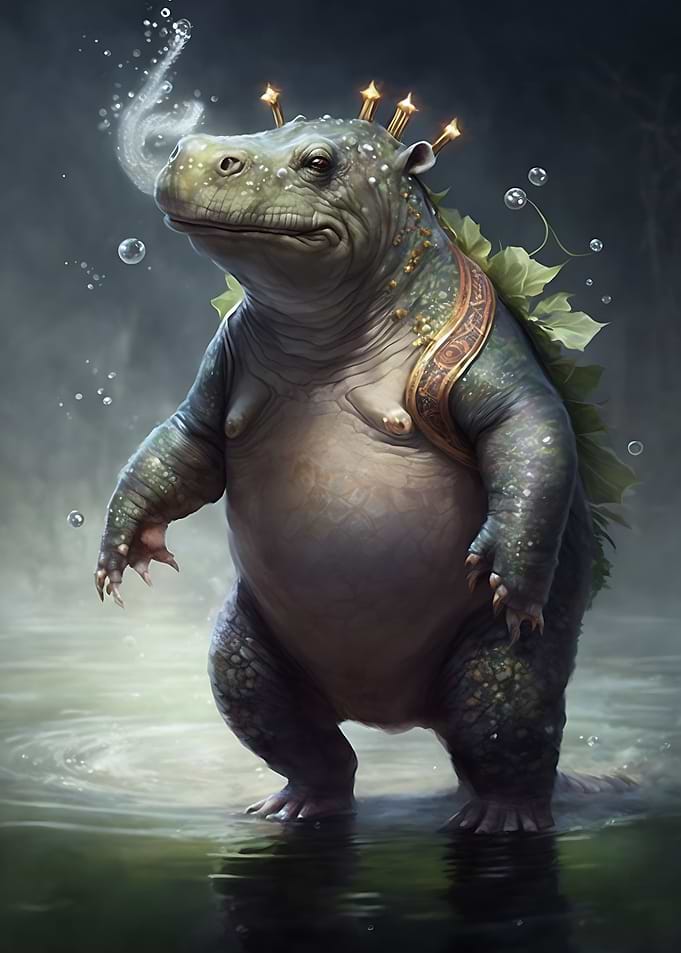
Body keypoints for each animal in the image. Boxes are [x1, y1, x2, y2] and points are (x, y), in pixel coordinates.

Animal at [95, 113, 614, 834]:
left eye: (318, 163)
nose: (194, 152)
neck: (322, 327)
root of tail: (399, 713)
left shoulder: (486, 349)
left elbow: (528, 426)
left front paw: (508, 569)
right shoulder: (219, 364)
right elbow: (181, 449)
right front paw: (119, 548)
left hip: (510, 659)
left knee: (503, 705)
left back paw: (502, 815)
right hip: (254, 647)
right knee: (273, 707)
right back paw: (301, 803)